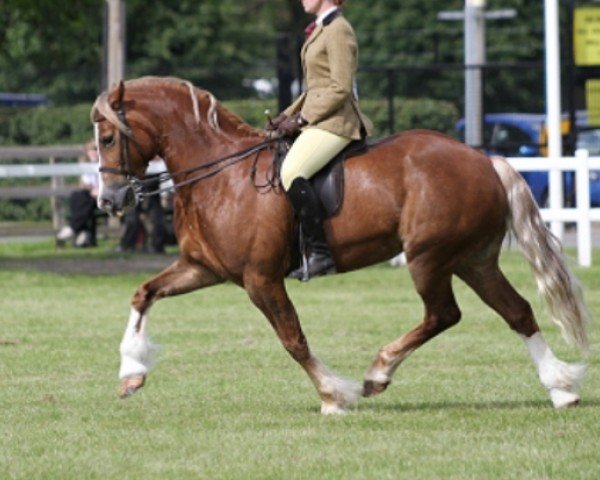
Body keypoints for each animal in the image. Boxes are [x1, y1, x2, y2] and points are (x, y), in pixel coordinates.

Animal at [91, 77, 588, 414]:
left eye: (109, 137)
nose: (108, 201)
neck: (220, 174)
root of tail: (485, 161)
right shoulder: (203, 268)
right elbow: (143, 294)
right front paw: (130, 373)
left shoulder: (259, 279)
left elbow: (292, 338)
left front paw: (333, 395)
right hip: (473, 259)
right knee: (516, 311)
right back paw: (561, 387)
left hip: (428, 258)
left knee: (443, 314)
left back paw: (378, 373)